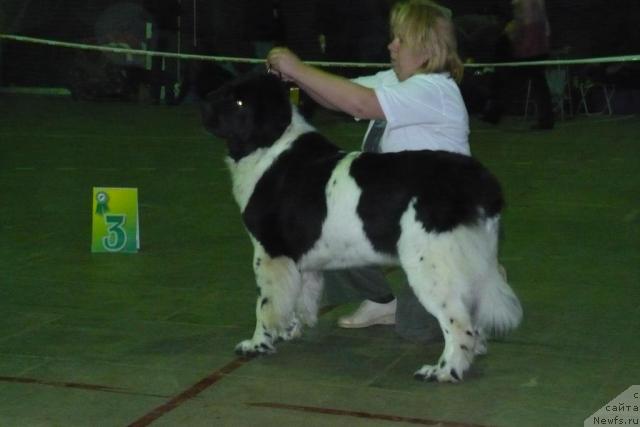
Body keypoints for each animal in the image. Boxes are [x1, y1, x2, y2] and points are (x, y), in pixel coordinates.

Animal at [202, 73, 524, 384]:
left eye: (238, 102)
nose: (203, 105)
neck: (270, 148)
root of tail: (479, 181)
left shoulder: (270, 251)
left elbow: (265, 303)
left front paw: (257, 343)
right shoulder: (297, 258)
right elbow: (295, 295)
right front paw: (289, 329)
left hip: (431, 265)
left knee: (458, 321)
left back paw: (445, 370)